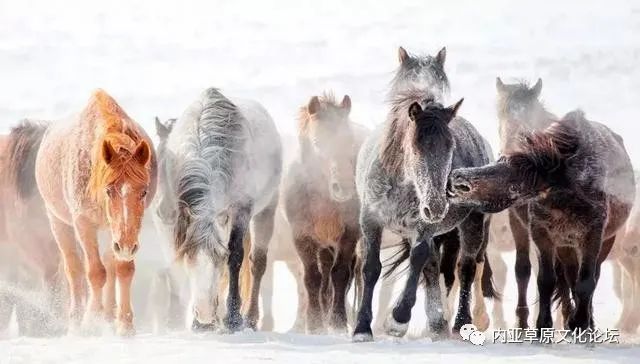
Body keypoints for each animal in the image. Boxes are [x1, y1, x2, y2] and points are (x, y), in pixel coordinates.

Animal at [33, 89, 157, 334]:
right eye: (109, 190)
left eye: (144, 192)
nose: (126, 246)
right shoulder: (83, 223)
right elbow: (95, 272)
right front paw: (91, 320)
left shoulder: (121, 235)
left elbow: (122, 269)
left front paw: (124, 324)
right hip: (59, 222)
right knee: (74, 268)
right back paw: (77, 318)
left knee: (110, 266)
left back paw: (108, 315)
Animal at [154, 89, 280, 332]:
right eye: (189, 258)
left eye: (220, 259)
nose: (203, 316)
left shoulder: (241, 210)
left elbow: (236, 257)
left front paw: (233, 319)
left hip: (266, 211)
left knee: (257, 263)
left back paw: (250, 318)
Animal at [284, 91, 368, 332]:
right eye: (318, 142)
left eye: (349, 141)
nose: (345, 187)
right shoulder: (302, 236)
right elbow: (312, 277)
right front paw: (314, 324)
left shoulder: (349, 234)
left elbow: (340, 275)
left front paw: (338, 322)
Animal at [352, 44, 492, 342]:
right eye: (415, 148)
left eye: (450, 147)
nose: (437, 206)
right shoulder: (370, 220)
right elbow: (371, 268)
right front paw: (361, 328)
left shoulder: (423, 226)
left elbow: (418, 260)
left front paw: (398, 320)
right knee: (435, 268)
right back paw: (437, 325)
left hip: (472, 224)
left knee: (465, 268)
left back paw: (459, 324)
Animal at [450, 112, 636, 332]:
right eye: (500, 161)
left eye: (514, 182)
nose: (458, 177)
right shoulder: (543, 234)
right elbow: (546, 280)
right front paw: (544, 326)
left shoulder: (593, 236)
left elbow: (586, 282)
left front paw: (582, 325)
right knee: (546, 274)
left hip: (603, 241)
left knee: (588, 277)